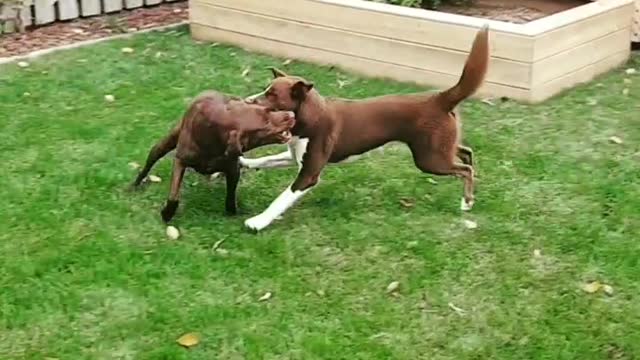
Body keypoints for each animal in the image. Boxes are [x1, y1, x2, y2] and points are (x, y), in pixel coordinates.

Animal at [133, 90, 298, 222]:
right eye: (266, 123)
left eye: (270, 109)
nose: (292, 115)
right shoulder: (180, 161)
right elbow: (173, 195)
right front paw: (167, 214)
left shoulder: (233, 168)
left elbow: (231, 196)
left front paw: (232, 212)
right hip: (166, 142)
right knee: (150, 162)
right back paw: (134, 185)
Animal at [240, 26, 490, 233]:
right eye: (266, 90)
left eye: (272, 95)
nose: (247, 100)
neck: (310, 116)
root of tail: (439, 99)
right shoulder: (295, 156)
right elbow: (267, 160)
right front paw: (245, 162)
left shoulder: (310, 173)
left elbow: (282, 198)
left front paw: (258, 221)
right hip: (439, 147)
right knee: (466, 153)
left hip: (429, 158)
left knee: (465, 169)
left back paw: (467, 201)